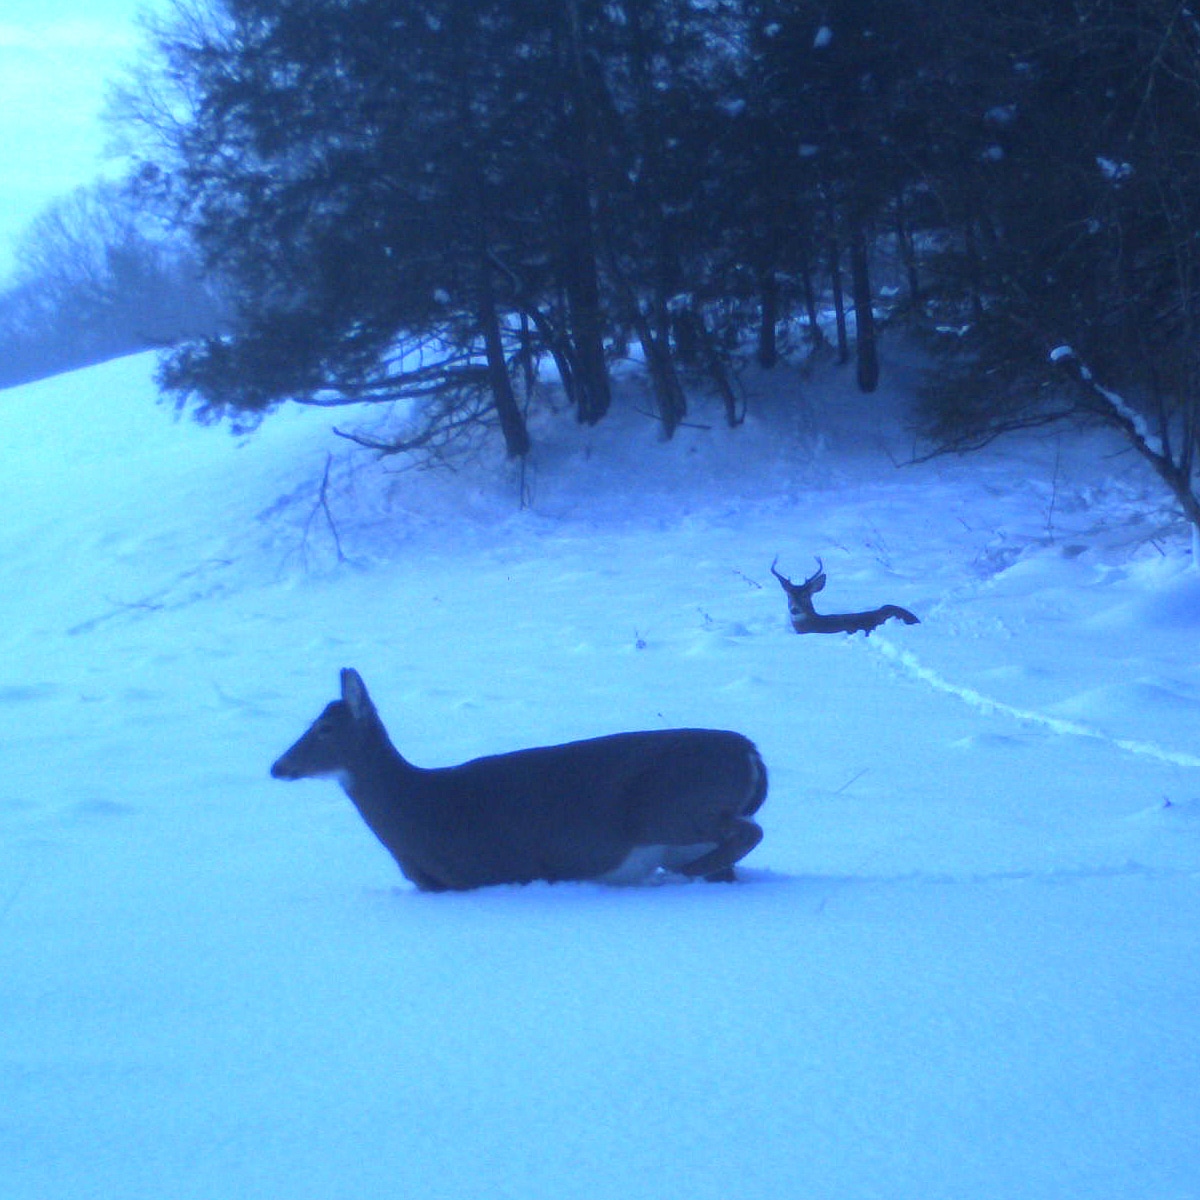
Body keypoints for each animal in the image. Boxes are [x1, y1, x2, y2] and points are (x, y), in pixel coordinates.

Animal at [270, 667, 768, 892]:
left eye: (324, 729)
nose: (278, 766)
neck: (417, 809)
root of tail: (750, 751)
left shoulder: (469, 875)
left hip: (667, 809)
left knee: (748, 831)